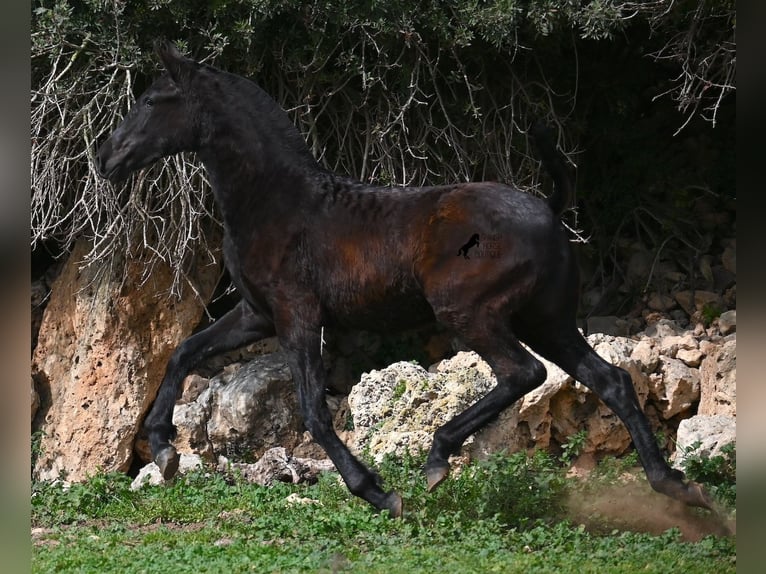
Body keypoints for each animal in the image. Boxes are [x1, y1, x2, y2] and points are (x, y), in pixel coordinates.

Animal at [97, 40, 712, 516]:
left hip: (471, 312)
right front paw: (163, 449)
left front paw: (375, 492)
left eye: (151, 101)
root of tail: (548, 211)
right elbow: (183, 352)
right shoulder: (256, 314)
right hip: (548, 319)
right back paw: (675, 485)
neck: (276, 200)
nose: (106, 157)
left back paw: (437, 459)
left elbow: (313, 410)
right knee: (611, 380)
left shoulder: (298, 315)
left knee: (524, 373)